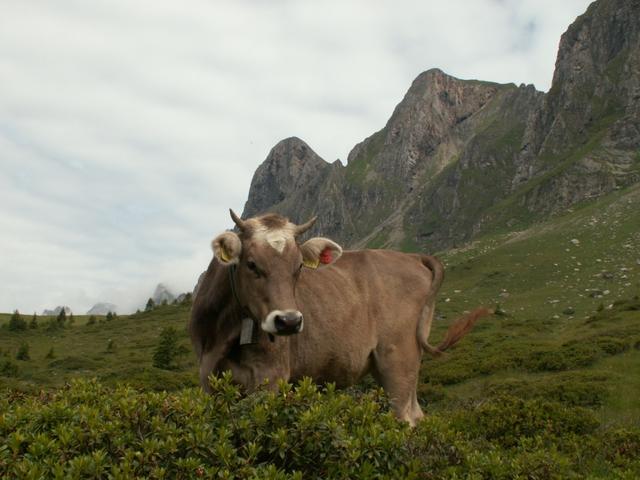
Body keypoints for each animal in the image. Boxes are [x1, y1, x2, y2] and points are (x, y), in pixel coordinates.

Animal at [188, 210, 488, 424]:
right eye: (251, 264)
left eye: (299, 266)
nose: (288, 321)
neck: (224, 335)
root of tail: (414, 257)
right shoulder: (207, 379)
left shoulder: (271, 376)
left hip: (400, 357)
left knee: (406, 416)